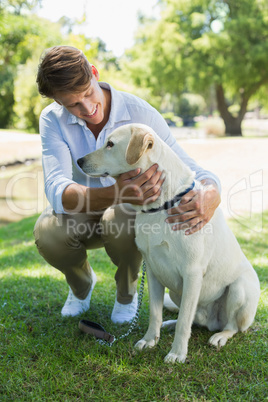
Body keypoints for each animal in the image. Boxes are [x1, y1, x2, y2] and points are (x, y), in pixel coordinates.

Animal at [77, 123, 260, 364]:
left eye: (110, 144)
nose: (79, 161)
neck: (161, 204)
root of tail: (212, 323)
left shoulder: (192, 274)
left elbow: (184, 321)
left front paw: (177, 352)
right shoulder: (154, 270)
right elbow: (156, 313)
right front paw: (149, 340)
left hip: (239, 290)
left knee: (230, 326)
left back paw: (219, 336)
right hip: (175, 292)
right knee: (191, 319)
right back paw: (169, 324)